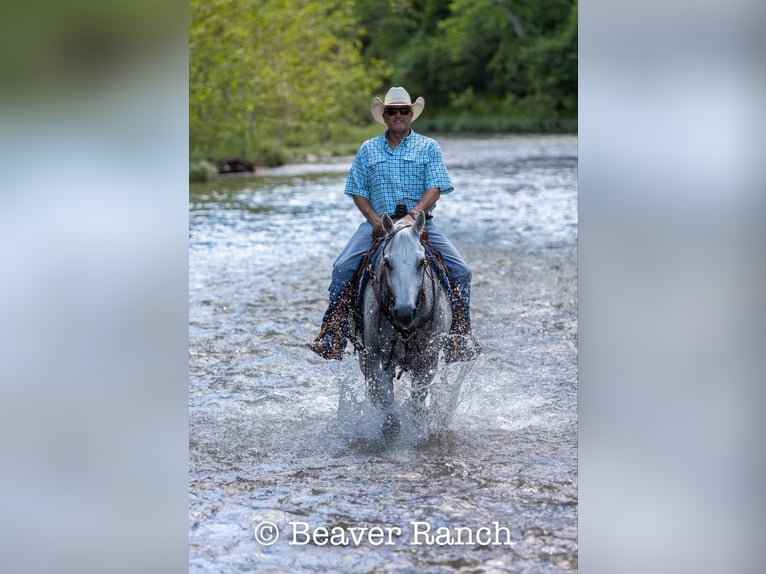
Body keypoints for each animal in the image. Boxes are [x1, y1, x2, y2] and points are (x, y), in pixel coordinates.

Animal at [356, 212, 452, 440]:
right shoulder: (375, 358)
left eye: (421, 261)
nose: (405, 311)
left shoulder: (428, 361)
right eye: (387, 262)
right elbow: (388, 410)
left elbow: (417, 403)